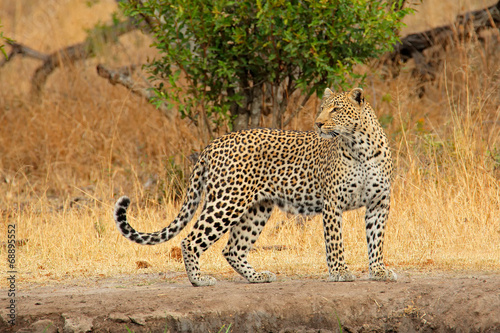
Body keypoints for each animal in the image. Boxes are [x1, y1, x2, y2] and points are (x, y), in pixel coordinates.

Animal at [114, 86, 398, 286]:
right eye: (322, 108)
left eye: (336, 109)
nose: (318, 123)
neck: (360, 146)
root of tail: (213, 144)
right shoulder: (333, 203)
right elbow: (335, 241)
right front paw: (340, 272)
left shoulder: (379, 203)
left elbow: (376, 239)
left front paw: (379, 271)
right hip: (227, 202)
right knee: (191, 240)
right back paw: (199, 280)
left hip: (256, 208)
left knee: (232, 248)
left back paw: (257, 277)